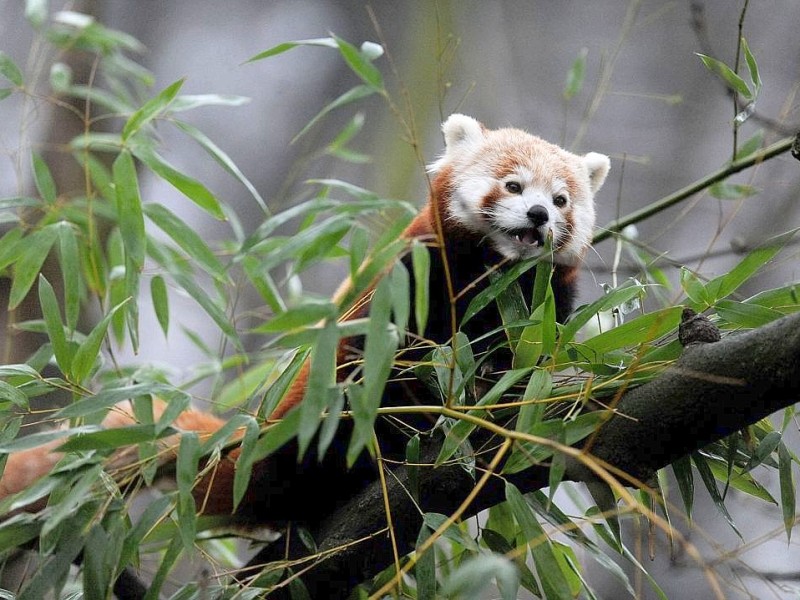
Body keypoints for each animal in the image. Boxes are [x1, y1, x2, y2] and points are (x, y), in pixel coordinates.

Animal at [0, 116, 608, 524]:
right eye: (513, 185)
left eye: (561, 199)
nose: (538, 215)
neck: (495, 278)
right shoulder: (413, 277)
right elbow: (397, 357)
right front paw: (438, 406)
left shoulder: (543, 303)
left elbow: (526, 356)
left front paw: (508, 391)